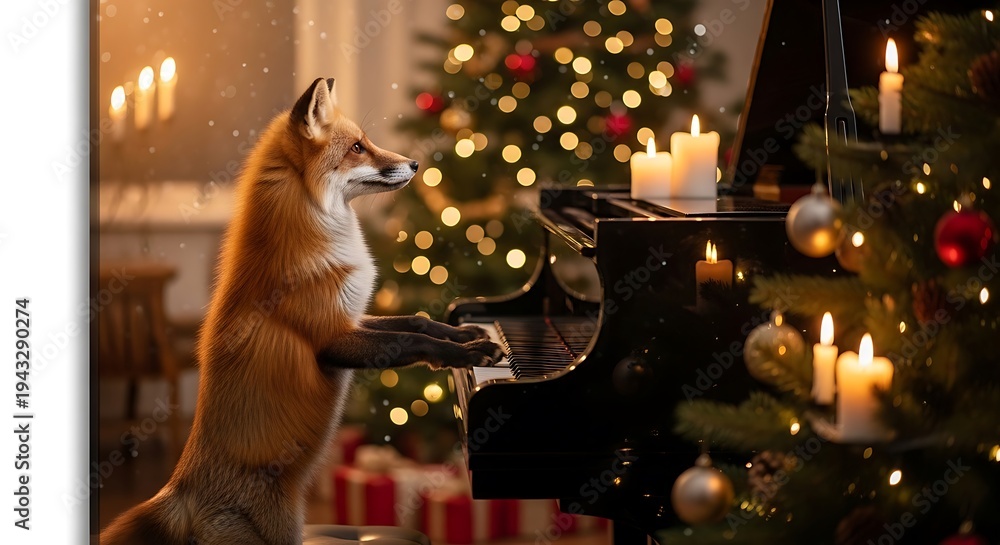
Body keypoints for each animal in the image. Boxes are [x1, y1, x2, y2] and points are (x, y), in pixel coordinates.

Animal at [100, 77, 503, 545]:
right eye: (358, 148)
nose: (417, 163)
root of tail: (178, 490)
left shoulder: (351, 316)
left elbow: (419, 322)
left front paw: (472, 335)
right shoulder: (331, 337)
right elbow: (411, 339)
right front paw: (470, 355)